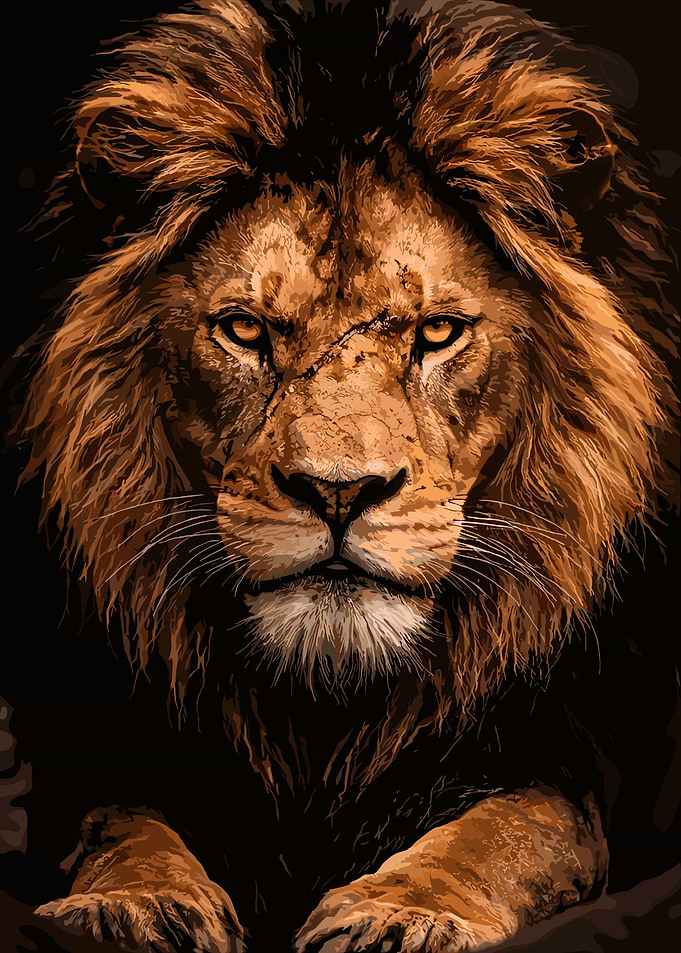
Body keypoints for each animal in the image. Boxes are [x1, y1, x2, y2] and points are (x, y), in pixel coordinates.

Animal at [8, 0, 677, 950]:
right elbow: (120, 820)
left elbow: (511, 829)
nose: (337, 491)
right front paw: (129, 904)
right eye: (244, 329)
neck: (328, 711)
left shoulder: (561, 756)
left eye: (436, 332)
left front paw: (406, 910)